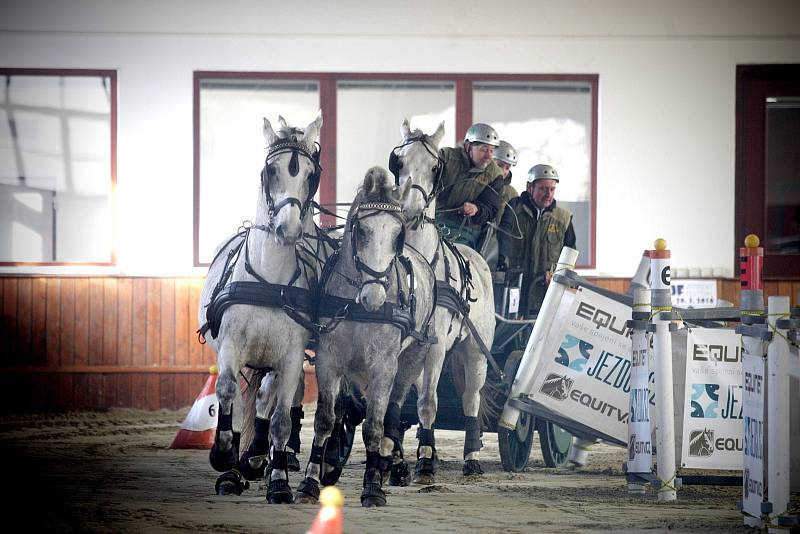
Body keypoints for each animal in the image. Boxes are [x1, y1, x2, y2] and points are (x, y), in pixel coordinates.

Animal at [198, 114, 324, 506]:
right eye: (270, 170)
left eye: (310, 175)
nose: (288, 228)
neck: (269, 280)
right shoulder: (231, 347)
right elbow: (226, 392)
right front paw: (224, 455)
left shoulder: (291, 357)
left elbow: (281, 418)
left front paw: (279, 481)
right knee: (242, 402)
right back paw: (235, 469)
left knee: (266, 399)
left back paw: (256, 460)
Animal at [296, 170, 438, 508]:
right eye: (361, 231)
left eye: (398, 234)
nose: (374, 297)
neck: (358, 307)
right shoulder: (329, 360)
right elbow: (326, 419)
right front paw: (311, 480)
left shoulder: (383, 366)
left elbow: (375, 425)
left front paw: (373, 485)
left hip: (412, 359)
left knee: (393, 412)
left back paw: (392, 464)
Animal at [386, 120, 494, 486]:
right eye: (398, 162)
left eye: (435, 167)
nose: (410, 210)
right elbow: (395, 399)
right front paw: (396, 460)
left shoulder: (433, 346)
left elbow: (428, 403)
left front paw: (424, 463)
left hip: (475, 353)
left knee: (470, 399)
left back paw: (471, 458)